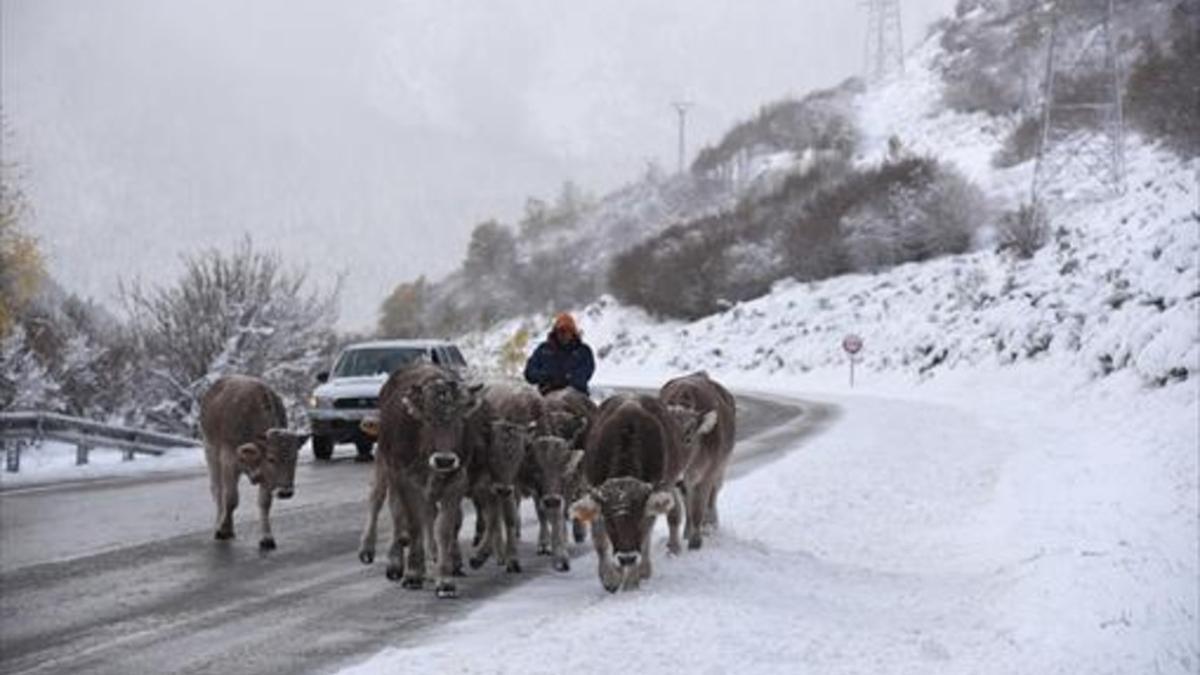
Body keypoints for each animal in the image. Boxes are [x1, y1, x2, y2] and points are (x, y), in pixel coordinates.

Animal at [199, 374, 309, 550]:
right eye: (271, 458)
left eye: (295, 458)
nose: (285, 492)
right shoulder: (229, 461)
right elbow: (231, 499)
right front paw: (223, 529)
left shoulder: (267, 477)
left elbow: (264, 503)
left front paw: (267, 538)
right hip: (210, 452)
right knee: (217, 491)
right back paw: (221, 525)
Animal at [355, 362, 482, 593]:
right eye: (427, 419)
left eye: (460, 419)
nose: (444, 460)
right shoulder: (406, 480)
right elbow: (414, 524)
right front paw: (413, 574)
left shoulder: (456, 481)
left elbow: (445, 528)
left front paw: (445, 579)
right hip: (384, 465)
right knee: (380, 501)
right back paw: (376, 554)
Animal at [564, 391, 681, 590]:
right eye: (610, 522)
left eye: (638, 519)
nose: (627, 558)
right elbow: (600, 541)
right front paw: (610, 578)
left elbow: (644, 537)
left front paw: (631, 583)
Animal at [662, 369, 734, 550]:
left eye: (688, 438)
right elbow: (674, 514)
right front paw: (673, 547)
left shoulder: (707, 475)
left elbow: (698, 511)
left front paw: (696, 542)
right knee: (688, 500)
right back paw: (687, 532)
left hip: (721, 467)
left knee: (713, 495)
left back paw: (710, 525)